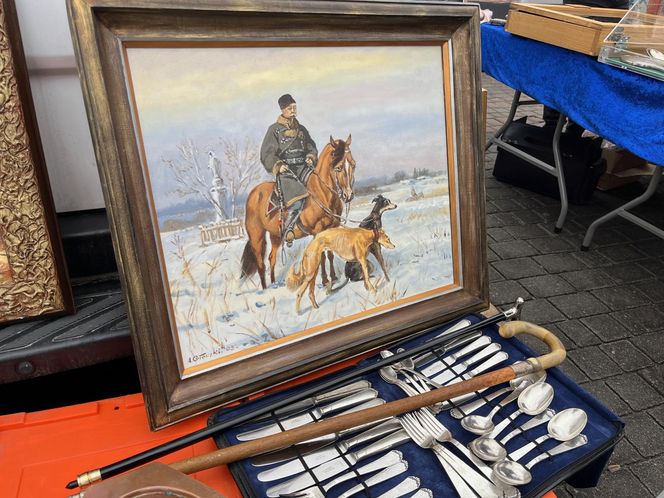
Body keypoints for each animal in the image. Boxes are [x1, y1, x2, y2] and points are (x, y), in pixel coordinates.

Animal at [237, 136, 352, 292]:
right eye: (338, 168)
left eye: (353, 164)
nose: (348, 195)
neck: (321, 193)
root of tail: (254, 193)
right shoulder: (317, 232)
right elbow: (321, 256)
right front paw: (325, 281)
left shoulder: (330, 229)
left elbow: (330, 254)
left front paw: (334, 278)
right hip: (257, 237)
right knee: (261, 264)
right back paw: (266, 289)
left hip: (276, 235)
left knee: (272, 258)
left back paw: (274, 284)